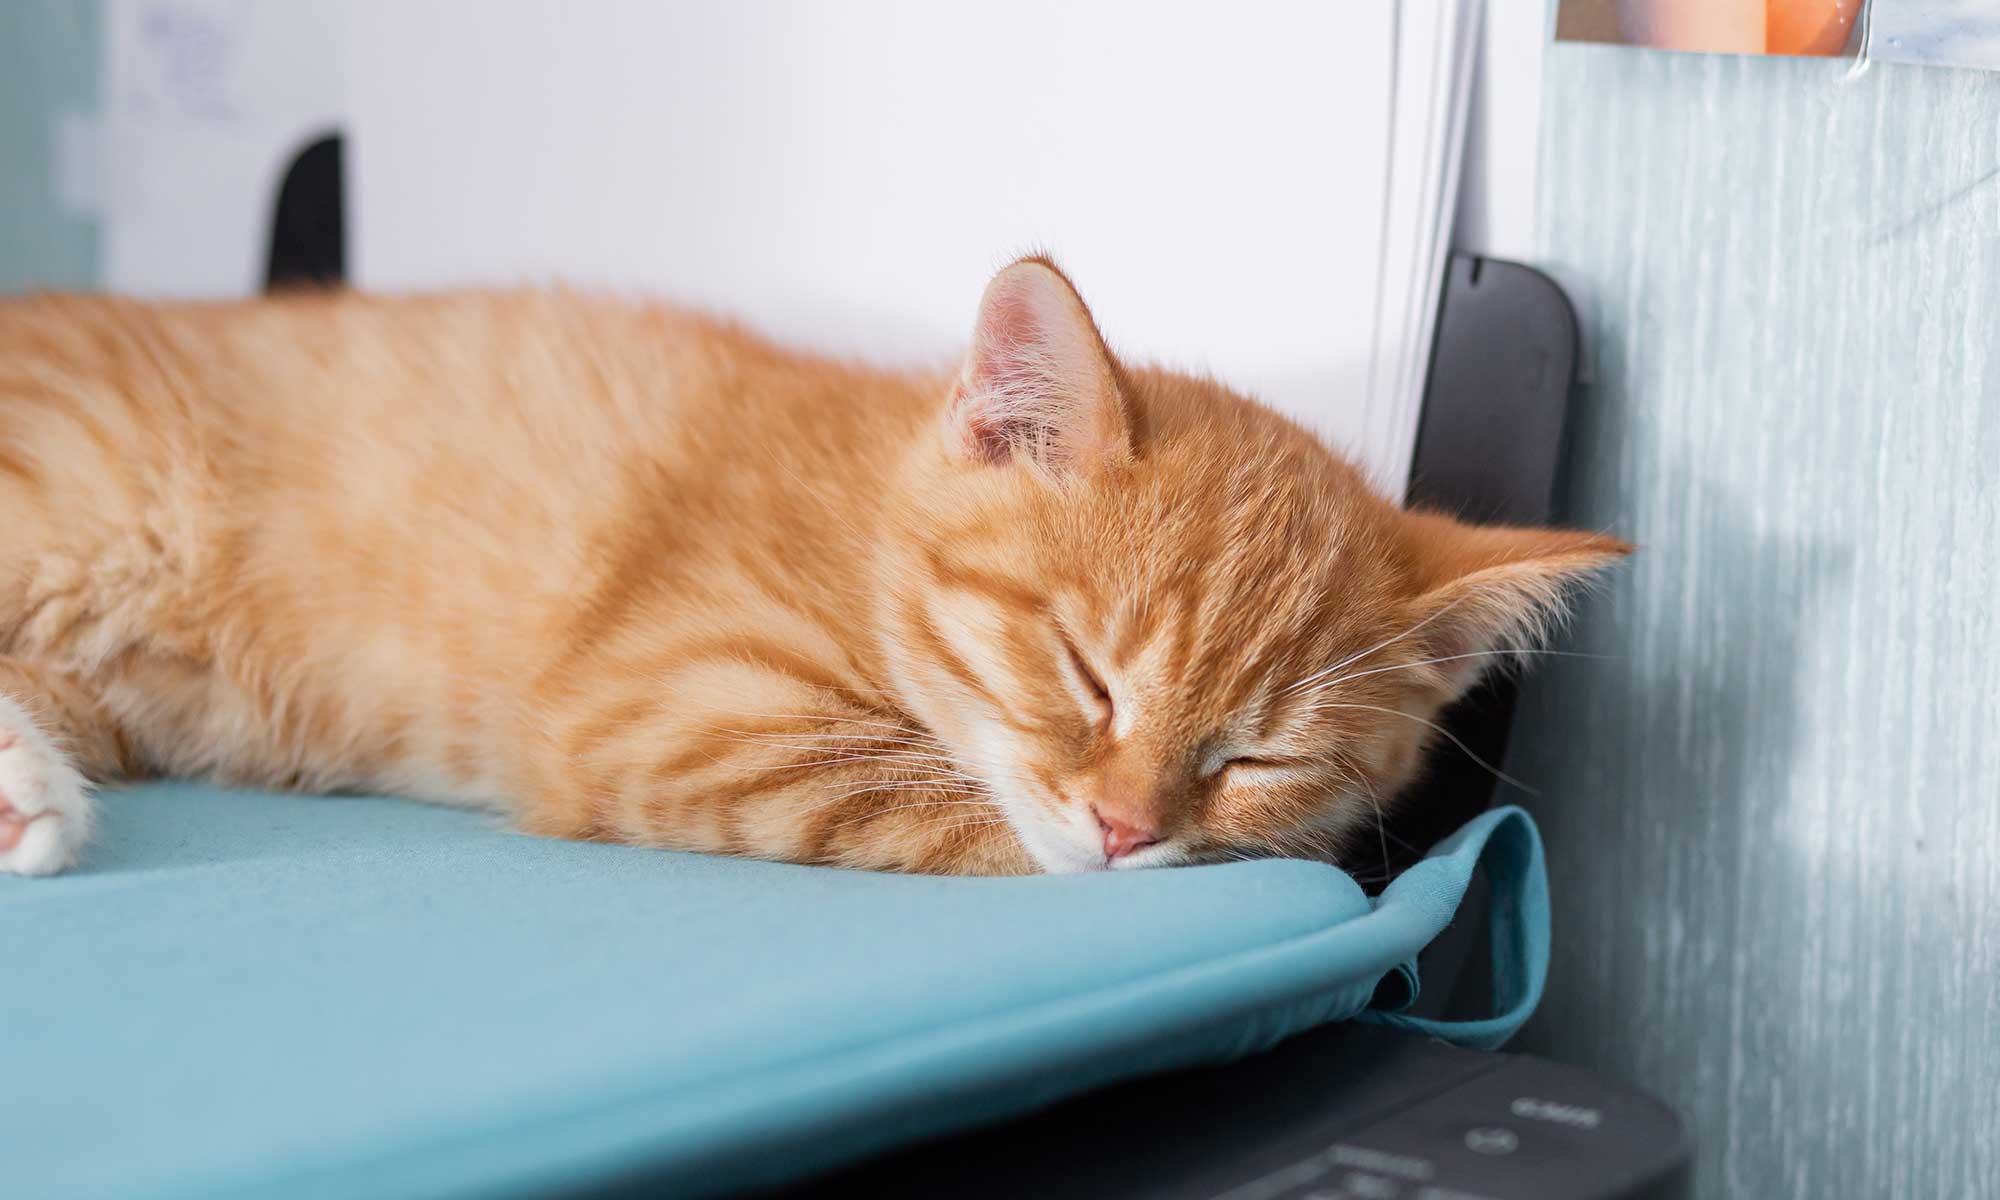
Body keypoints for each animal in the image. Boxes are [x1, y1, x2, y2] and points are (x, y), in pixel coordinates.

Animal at [0, 258, 1624, 876]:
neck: (864, 515)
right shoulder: (665, 706)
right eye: (1087, 676)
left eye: (1259, 756)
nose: (1123, 827)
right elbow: (920, 793)